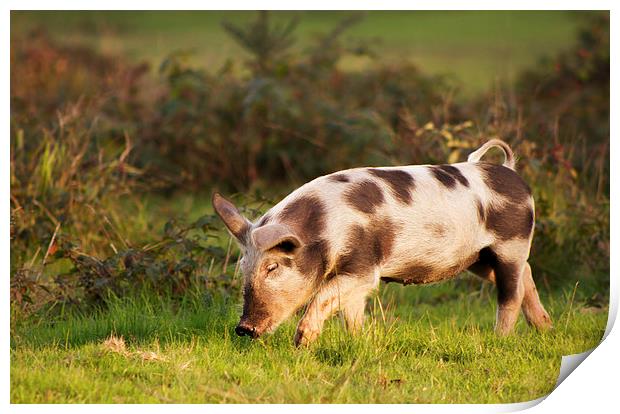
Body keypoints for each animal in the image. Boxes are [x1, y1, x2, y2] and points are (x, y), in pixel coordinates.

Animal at [212, 140, 552, 346]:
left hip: (511, 245)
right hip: (479, 259)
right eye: (243, 267)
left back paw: (499, 340)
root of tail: (511, 172)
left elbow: (323, 296)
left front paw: (301, 344)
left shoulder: (364, 266)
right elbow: (351, 313)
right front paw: (356, 343)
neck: (325, 229)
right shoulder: (353, 279)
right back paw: (544, 328)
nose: (243, 329)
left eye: (272, 267)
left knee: (511, 293)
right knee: (527, 275)